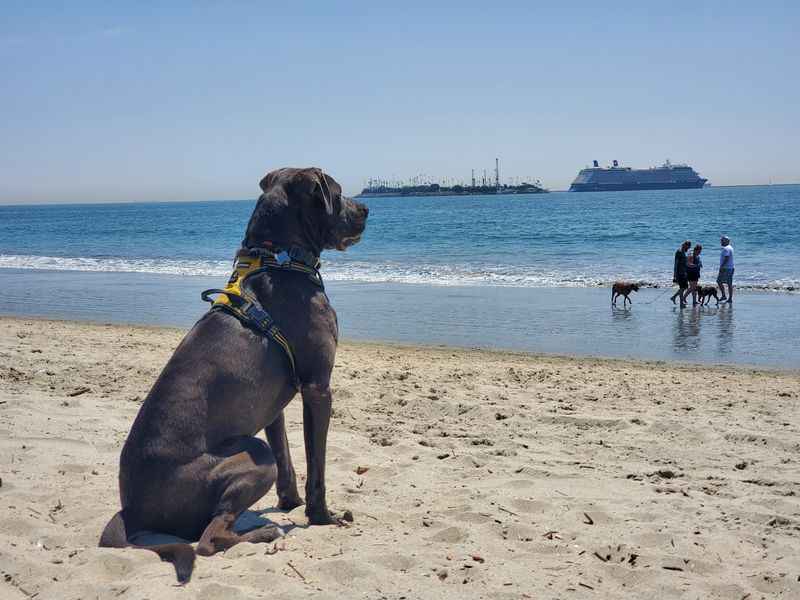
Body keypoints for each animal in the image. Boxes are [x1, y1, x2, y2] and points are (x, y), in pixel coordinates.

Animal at [101, 168, 372, 580]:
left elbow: (287, 456)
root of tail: (131, 511)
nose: (366, 210)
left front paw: (290, 502)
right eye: (338, 194)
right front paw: (321, 516)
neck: (279, 259)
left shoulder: (275, 403)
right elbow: (317, 465)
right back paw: (264, 533)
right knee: (209, 539)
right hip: (251, 455)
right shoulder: (317, 388)